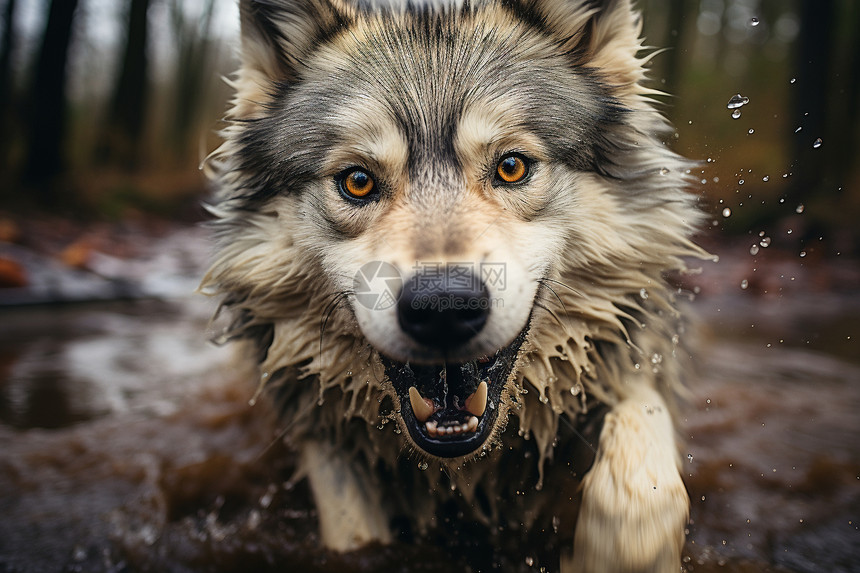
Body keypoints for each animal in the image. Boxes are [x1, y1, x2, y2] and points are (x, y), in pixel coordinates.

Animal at [202, 0, 704, 568]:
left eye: (511, 167)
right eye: (357, 181)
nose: (443, 307)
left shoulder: (626, 361)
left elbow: (640, 463)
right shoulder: (320, 428)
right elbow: (351, 530)